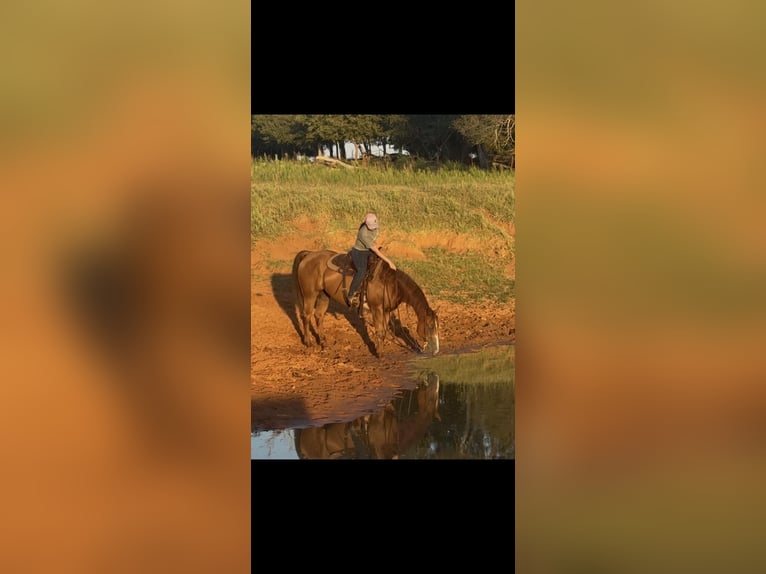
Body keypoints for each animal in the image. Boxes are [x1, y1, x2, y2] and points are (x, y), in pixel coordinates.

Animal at [291, 249, 440, 356]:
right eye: (430, 325)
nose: (436, 350)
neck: (391, 283)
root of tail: (309, 254)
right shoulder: (376, 308)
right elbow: (379, 330)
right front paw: (379, 353)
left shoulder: (386, 310)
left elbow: (383, 331)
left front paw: (380, 349)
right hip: (310, 294)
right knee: (306, 316)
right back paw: (309, 342)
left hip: (324, 295)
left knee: (318, 316)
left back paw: (323, 342)